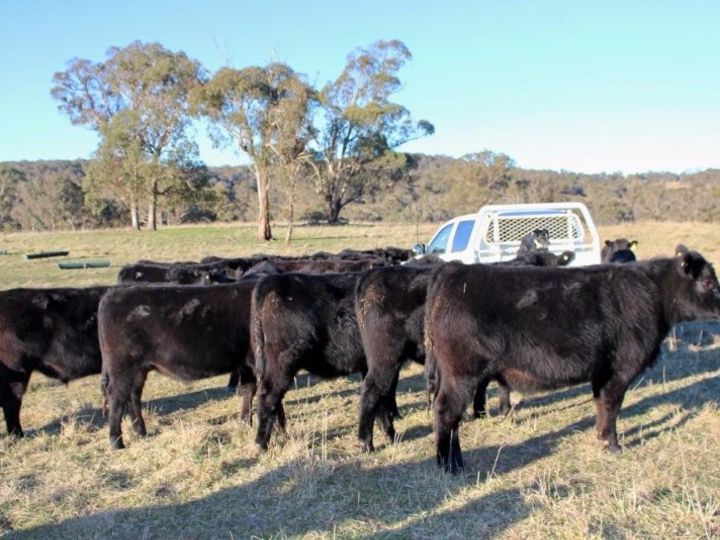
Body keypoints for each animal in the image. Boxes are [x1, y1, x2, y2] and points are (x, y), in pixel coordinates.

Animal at [99, 280, 258, 450]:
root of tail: (114, 293)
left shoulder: (247, 364)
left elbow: (248, 390)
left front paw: (245, 424)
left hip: (138, 370)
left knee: (133, 396)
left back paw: (141, 432)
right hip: (123, 367)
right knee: (117, 398)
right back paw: (117, 442)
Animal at [249, 272, 394, 450]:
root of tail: (271, 280)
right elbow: (384, 393)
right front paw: (386, 434)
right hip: (282, 362)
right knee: (268, 396)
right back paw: (261, 444)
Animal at [424, 246, 720, 472]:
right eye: (708, 283)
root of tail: (453, 271)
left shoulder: (601, 372)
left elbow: (602, 405)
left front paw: (602, 438)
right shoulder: (619, 370)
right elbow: (612, 406)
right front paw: (613, 445)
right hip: (461, 373)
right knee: (446, 412)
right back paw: (450, 465)